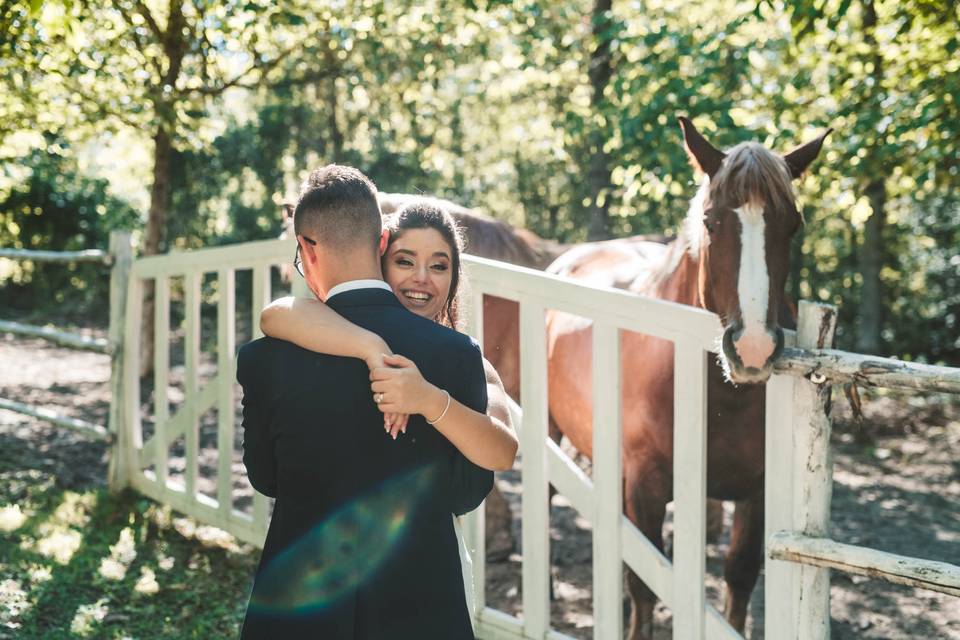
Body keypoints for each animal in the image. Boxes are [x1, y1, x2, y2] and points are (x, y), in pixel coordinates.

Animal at [536, 117, 828, 636]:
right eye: (712, 222)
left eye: (792, 225)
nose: (753, 347)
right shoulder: (647, 485)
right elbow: (645, 584)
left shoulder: (755, 493)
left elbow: (738, 577)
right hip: (553, 428)